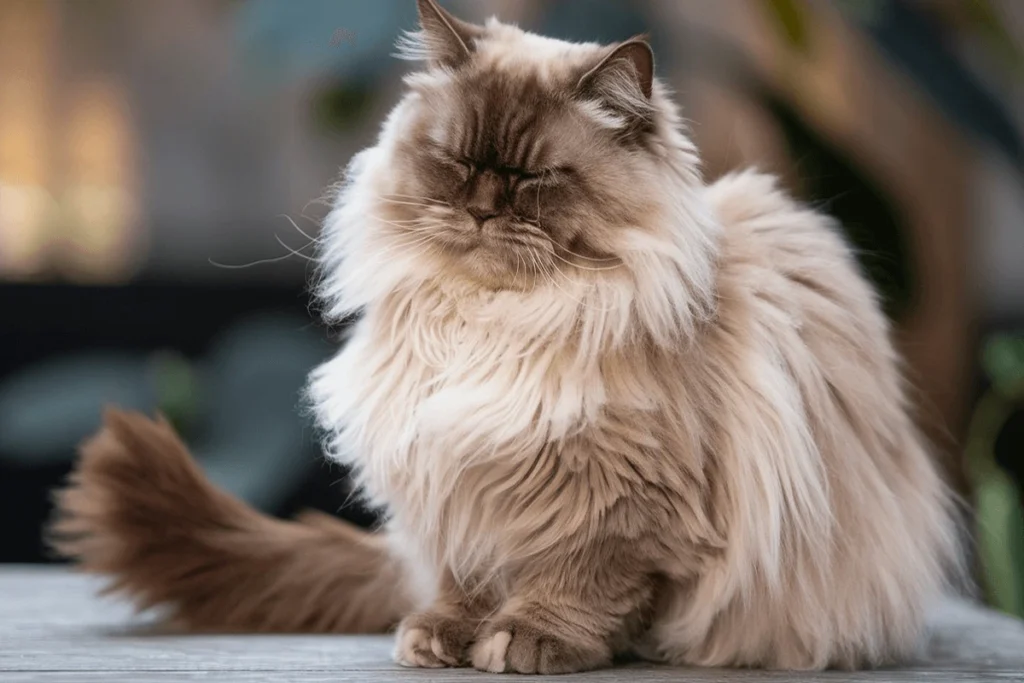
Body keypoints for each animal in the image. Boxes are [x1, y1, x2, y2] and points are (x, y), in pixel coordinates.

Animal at [51, 0, 962, 671]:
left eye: (533, 177)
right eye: (458, 161)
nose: (483, 207)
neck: (491, 322)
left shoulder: (626, 503)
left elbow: (581, 582)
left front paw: (528, 640)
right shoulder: (452, 471)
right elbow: (467, 578)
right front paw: (443, 636)